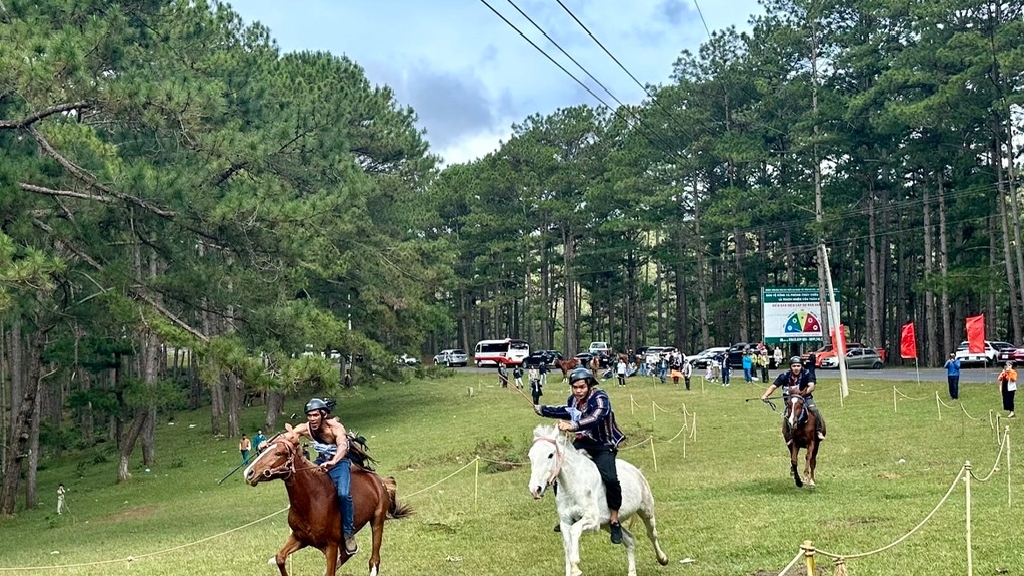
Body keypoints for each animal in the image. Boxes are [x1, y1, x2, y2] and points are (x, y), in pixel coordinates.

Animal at [243, 424, 411, 569]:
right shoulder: (299, 538)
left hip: (377, 521)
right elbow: (280, 558)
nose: (248, 473)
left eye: (278, 453)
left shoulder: (331, 546)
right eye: (264, 450)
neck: (312, 501)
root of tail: (379, 480)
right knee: (346, 555)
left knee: (374, 560)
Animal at [528, 422, 671, 573]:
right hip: (608, 524)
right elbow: (567, 552)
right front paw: (573, 568)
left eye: (550, 455)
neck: (573, 485)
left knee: (652, 534)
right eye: (530, 456)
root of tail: (637, 471)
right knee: (629, 540)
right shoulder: (565, 522)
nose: (535, 489)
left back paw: (663, 559)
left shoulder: (592, 520)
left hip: (646, 511)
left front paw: (576, 566)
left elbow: (575, 531)